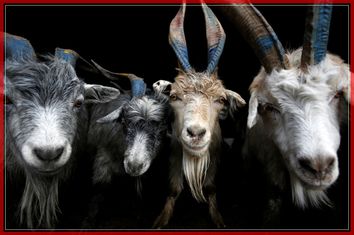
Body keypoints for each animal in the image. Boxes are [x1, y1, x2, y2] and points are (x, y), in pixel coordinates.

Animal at [152, 4, 246, 229]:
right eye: (174, 96)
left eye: (220, 99)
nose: (195, 133)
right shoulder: (175, 151)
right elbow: (173, 187)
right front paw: (162, 219)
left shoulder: (215, 153)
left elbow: (210, 187)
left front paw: (218, 219)